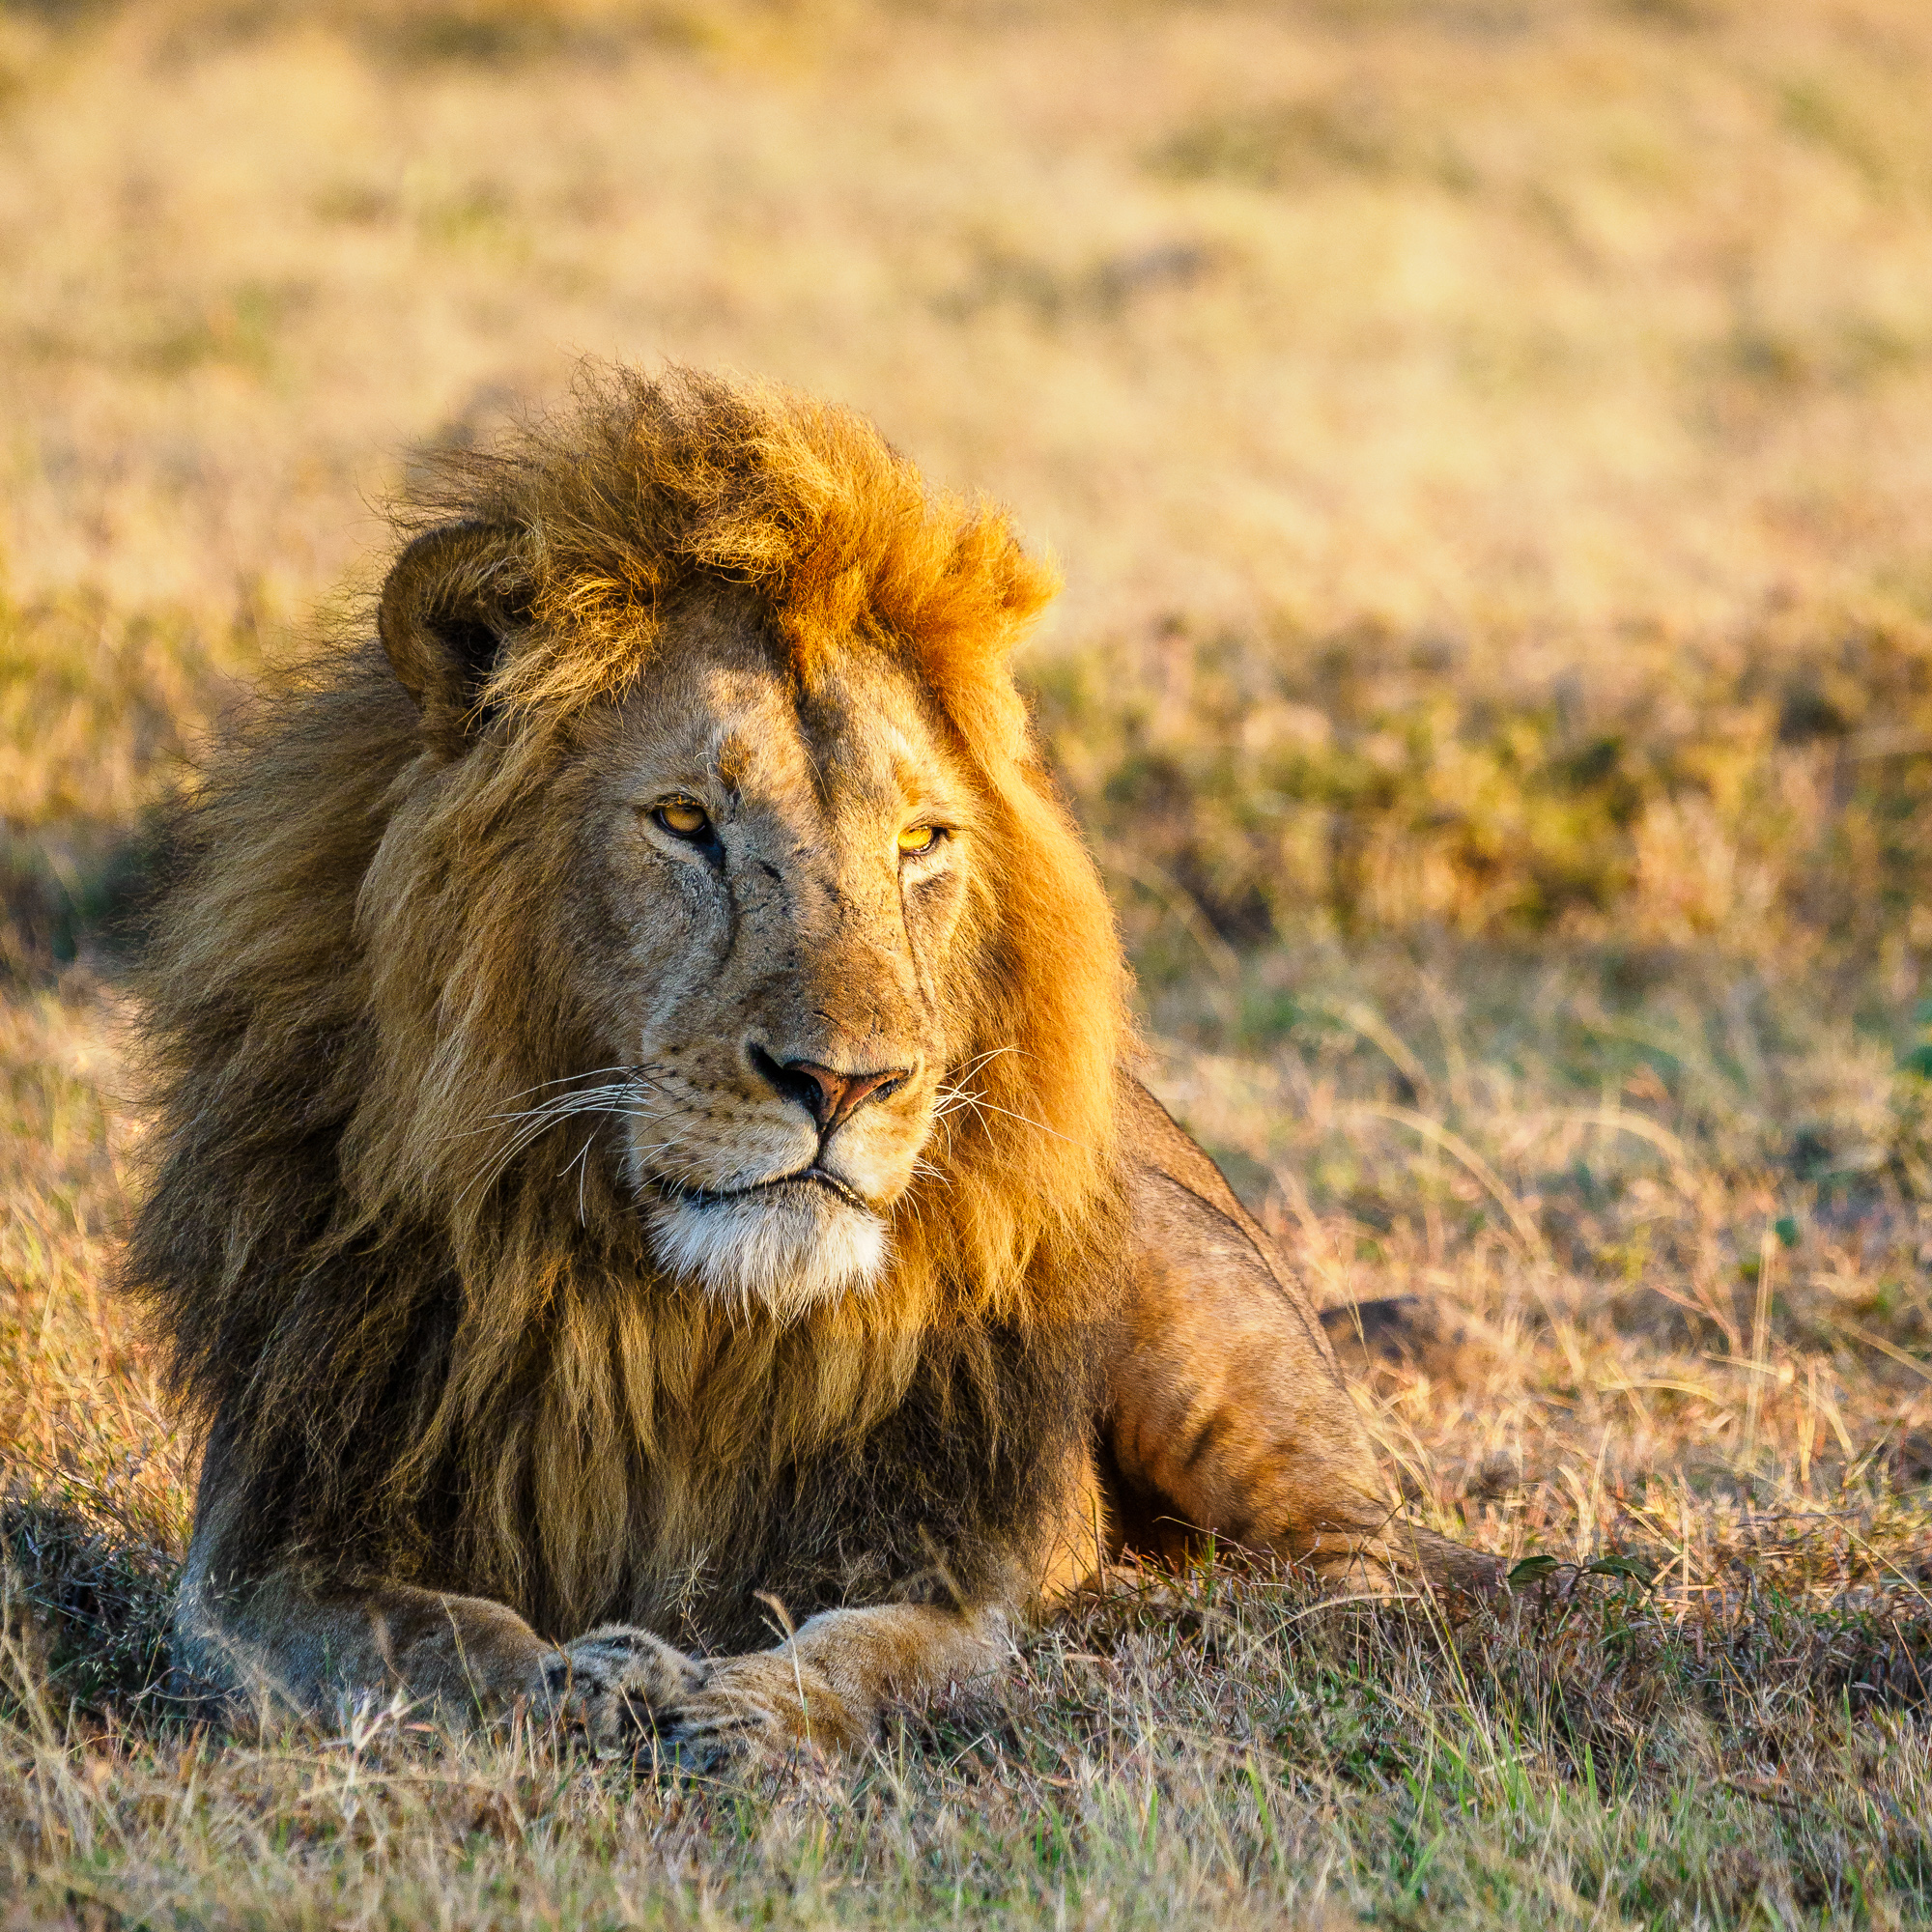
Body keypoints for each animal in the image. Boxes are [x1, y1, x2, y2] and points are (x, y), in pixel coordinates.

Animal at [128, 365, 1490, 1761]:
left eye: (920, 840)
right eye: (685, 821)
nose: (846, 1086)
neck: (670, 1325)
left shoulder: (942, 1553)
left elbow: (879, 1648)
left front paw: (734, 1703)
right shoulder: (261, 1543)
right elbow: (429, 1641)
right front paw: (577, 1683)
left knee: (1366, 1581)